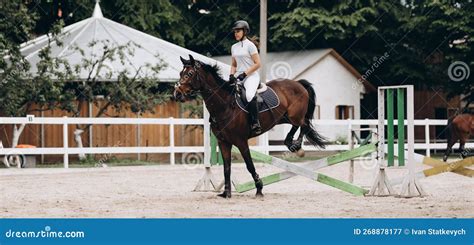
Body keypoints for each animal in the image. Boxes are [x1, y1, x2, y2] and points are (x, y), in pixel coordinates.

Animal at [174, 54, 326, 198]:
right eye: (181, 73)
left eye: (190, 74)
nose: (177, 93)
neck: (225, 105)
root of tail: (298, 83)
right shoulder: (223, 142)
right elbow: (227, 168)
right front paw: (226, 193)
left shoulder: (241, 141)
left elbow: (249, 165)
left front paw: (259, 188)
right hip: (284, 118)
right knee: (300, 125)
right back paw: (291, 143)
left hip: (294, 115)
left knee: (303, 124)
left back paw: (295, 145)